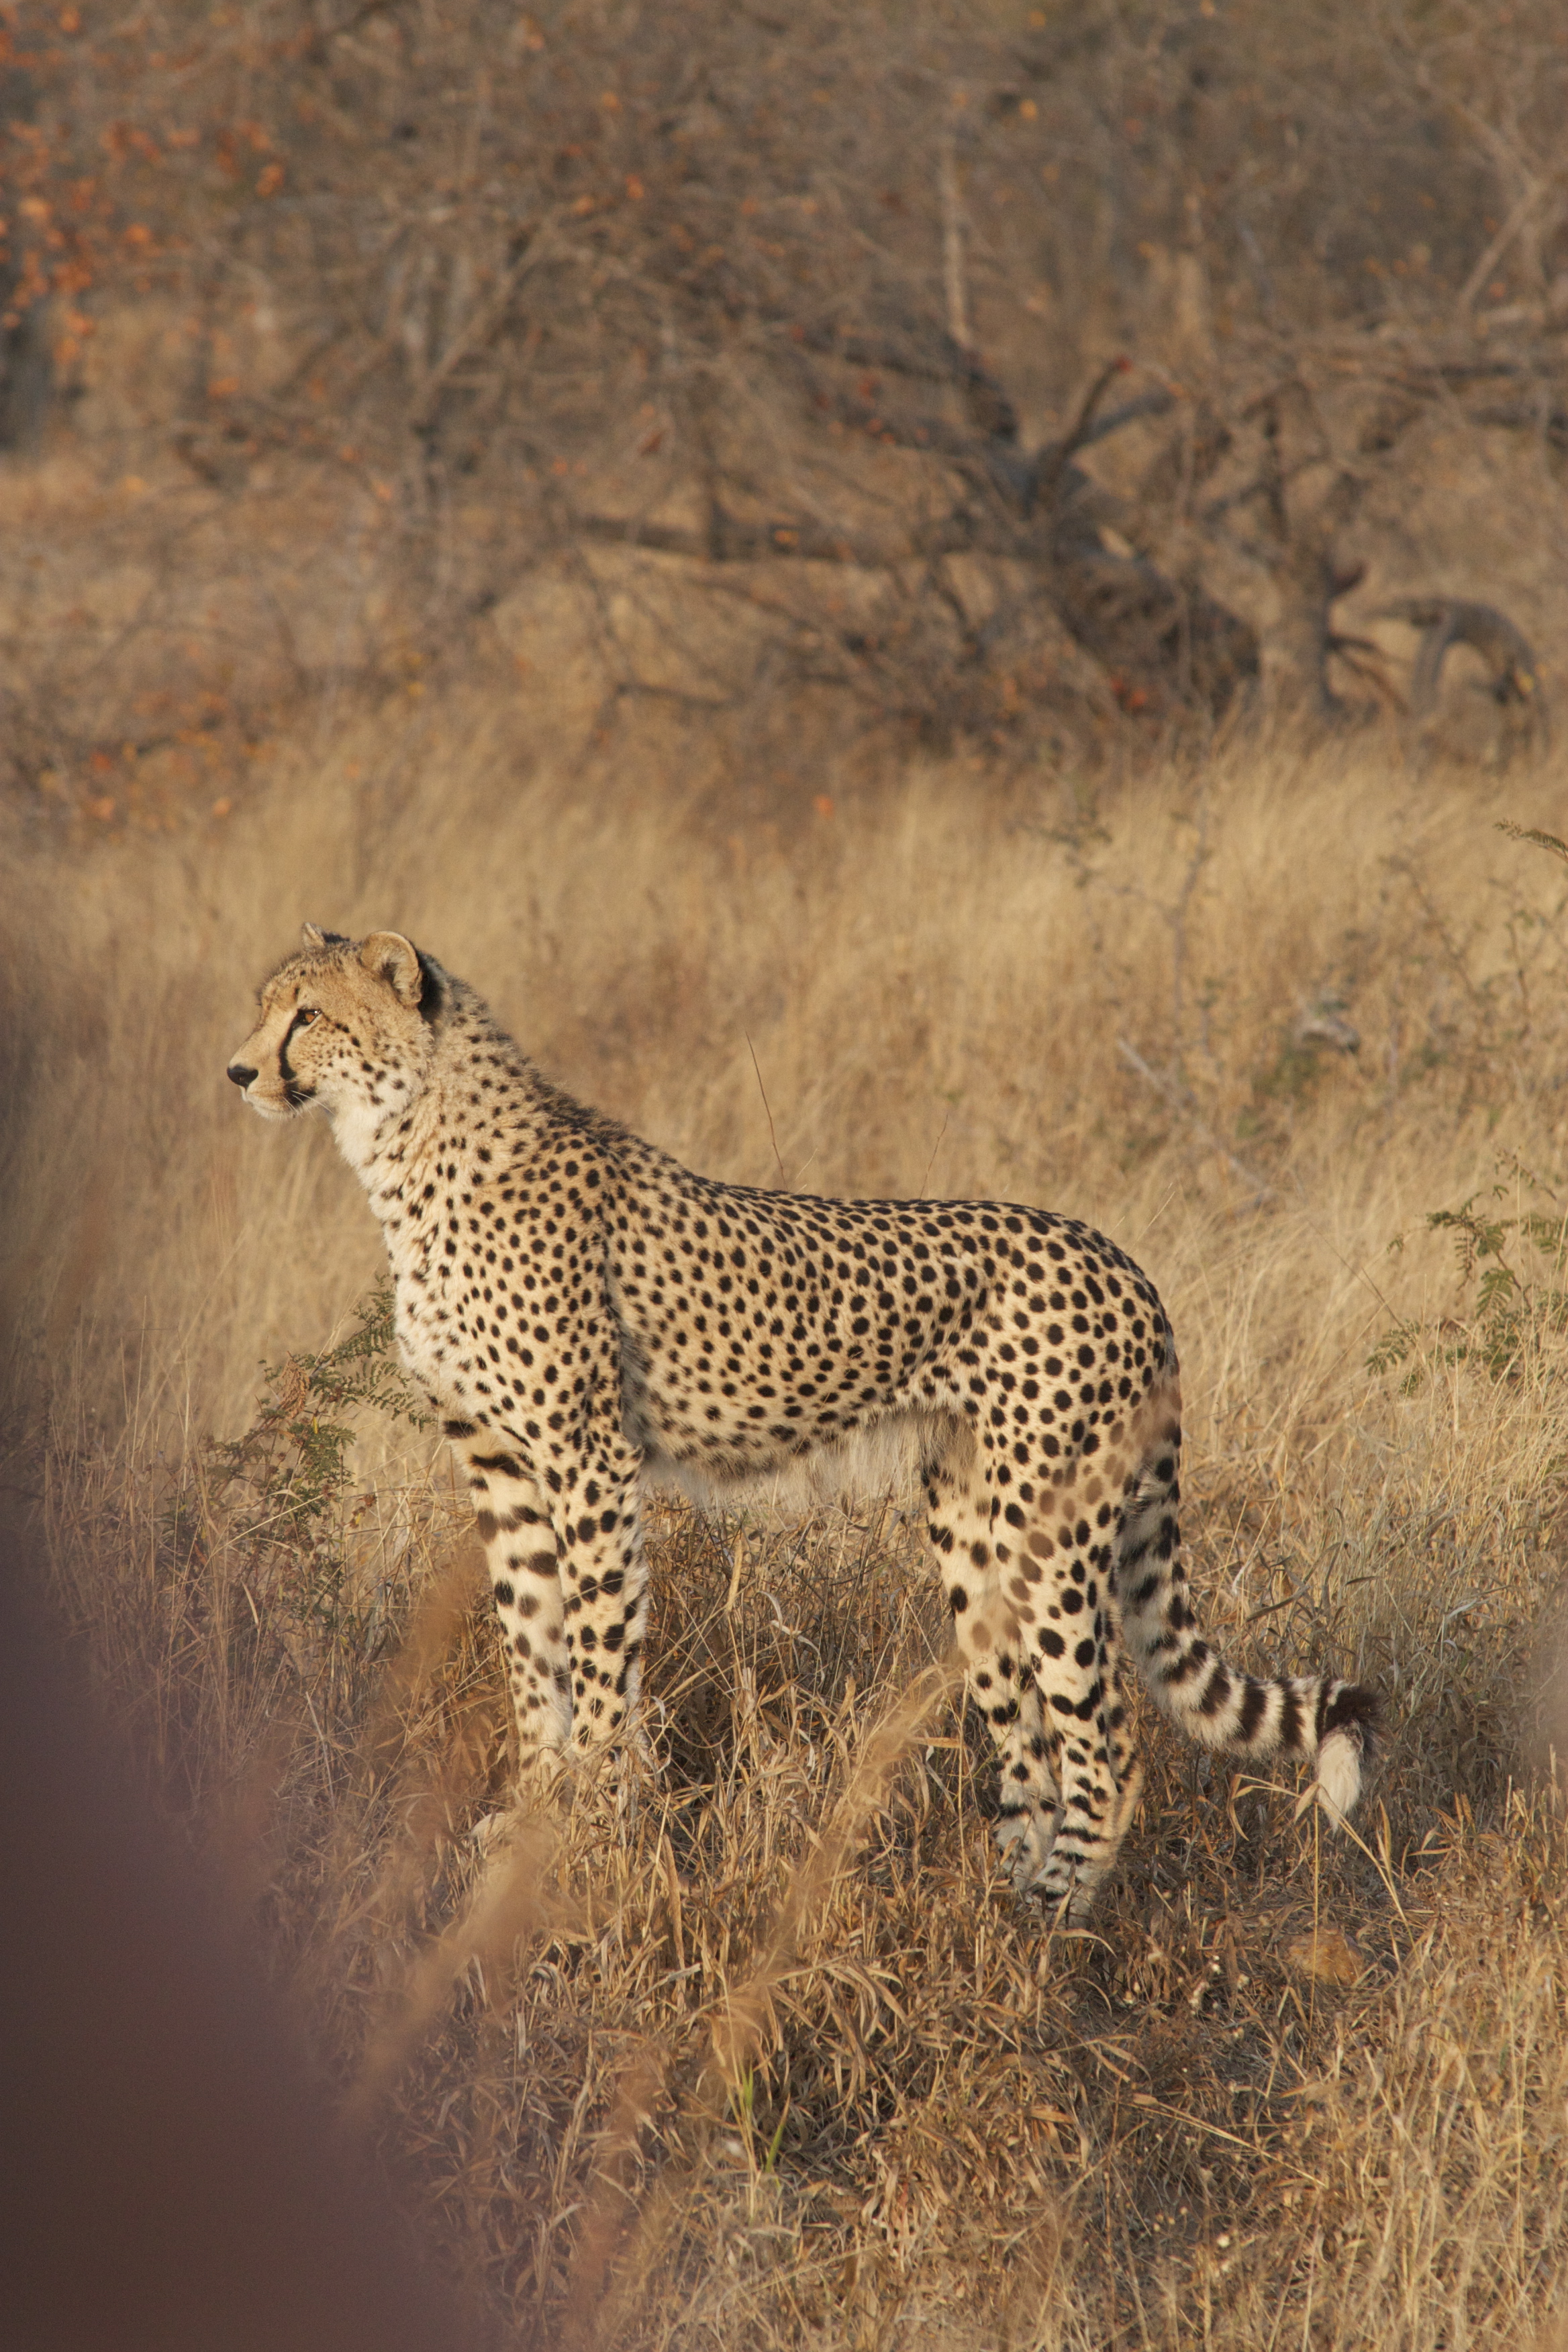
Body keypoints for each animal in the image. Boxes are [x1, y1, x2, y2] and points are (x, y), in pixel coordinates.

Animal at [227, 924, 1377, 1918]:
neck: (407, 1145)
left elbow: (598, 1657)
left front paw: (592, 1834)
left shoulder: (588, 1462)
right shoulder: (500, 1464)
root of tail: (1122, 1259)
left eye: (308, 1016)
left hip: (1052, 1528)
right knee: (1032, 1746)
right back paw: (992, 1915)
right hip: (971, 1529)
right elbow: (530, 1649)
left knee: (1107, 1745)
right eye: (267, 1006)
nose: (238, 1073)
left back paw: (1049, 1925)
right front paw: (535, 1819)